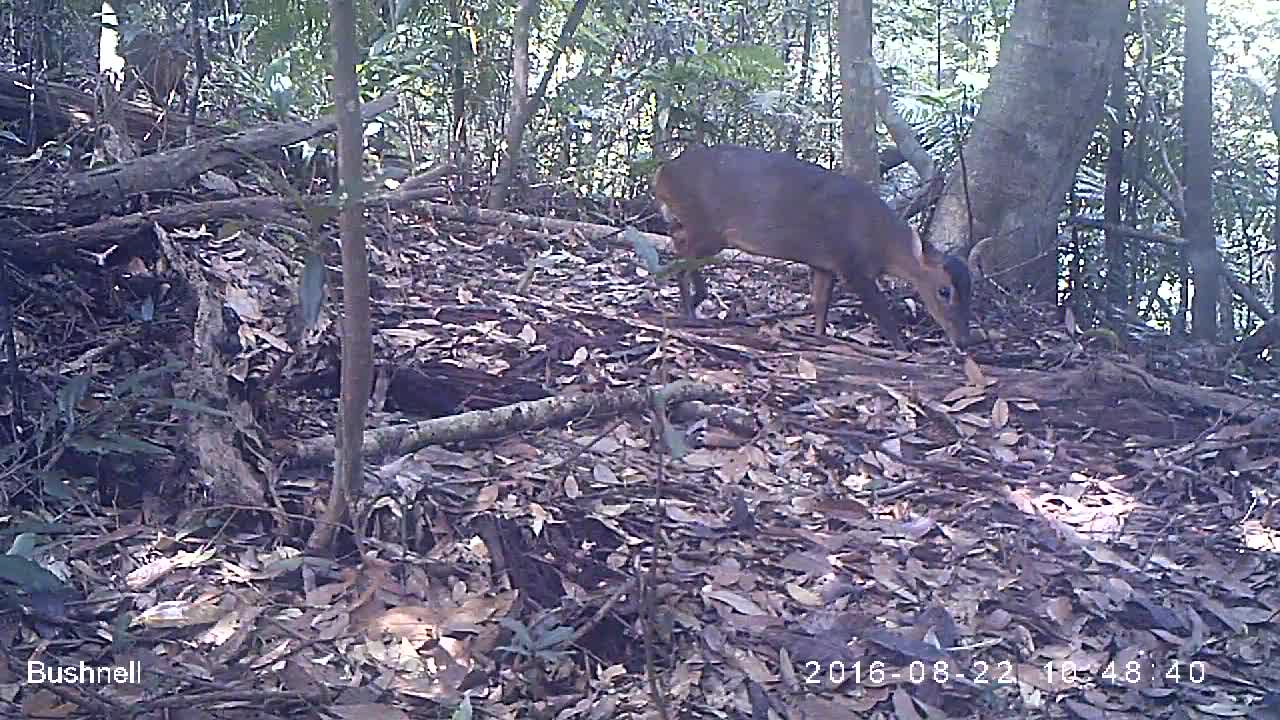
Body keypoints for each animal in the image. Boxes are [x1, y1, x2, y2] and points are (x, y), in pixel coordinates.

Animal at [660, 143, 967, 348]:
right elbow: (880, 310)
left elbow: (820, 304)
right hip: (708, 228)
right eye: (944, 291)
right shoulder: (851, 265)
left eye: (972, 292)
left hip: (698, 226)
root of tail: (663, 172)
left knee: (677, 242)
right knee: (681, 259)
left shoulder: (824, 265)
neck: (882, 240)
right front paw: (902, 347)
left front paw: (818, 336)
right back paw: (691, 309)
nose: (965, 341)